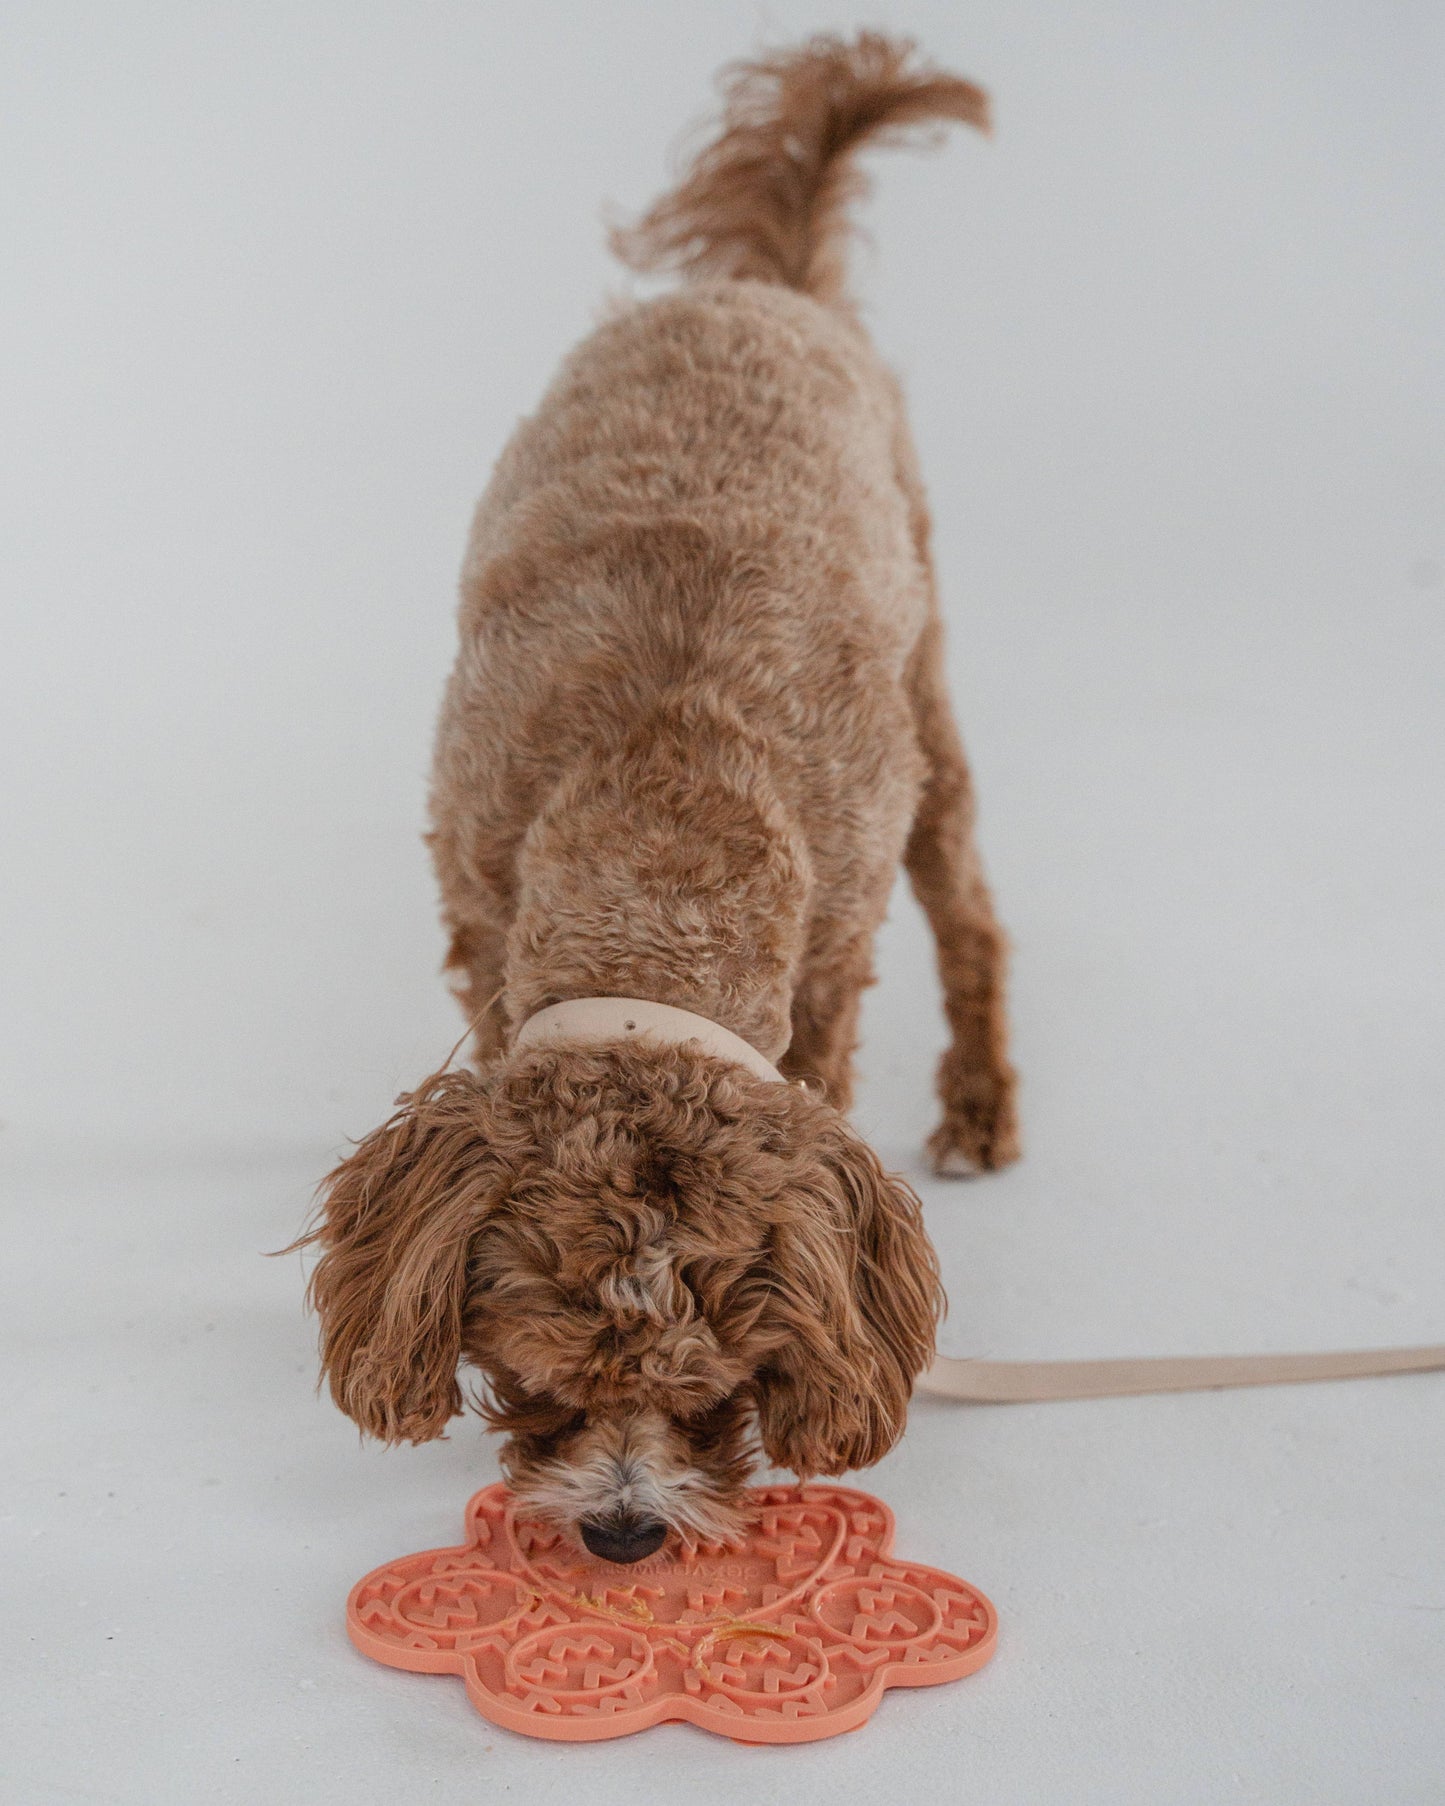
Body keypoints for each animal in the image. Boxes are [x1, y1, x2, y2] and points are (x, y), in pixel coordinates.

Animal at [307, 35, 1018, 1574]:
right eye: (536, 1380)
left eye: (717, 1396)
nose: (624, 1535)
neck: (664, 817)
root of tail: (768, 288)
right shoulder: (478, 903)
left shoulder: (828, 958)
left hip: (927, 697)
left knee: (973, 912)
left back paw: (984, 1104)